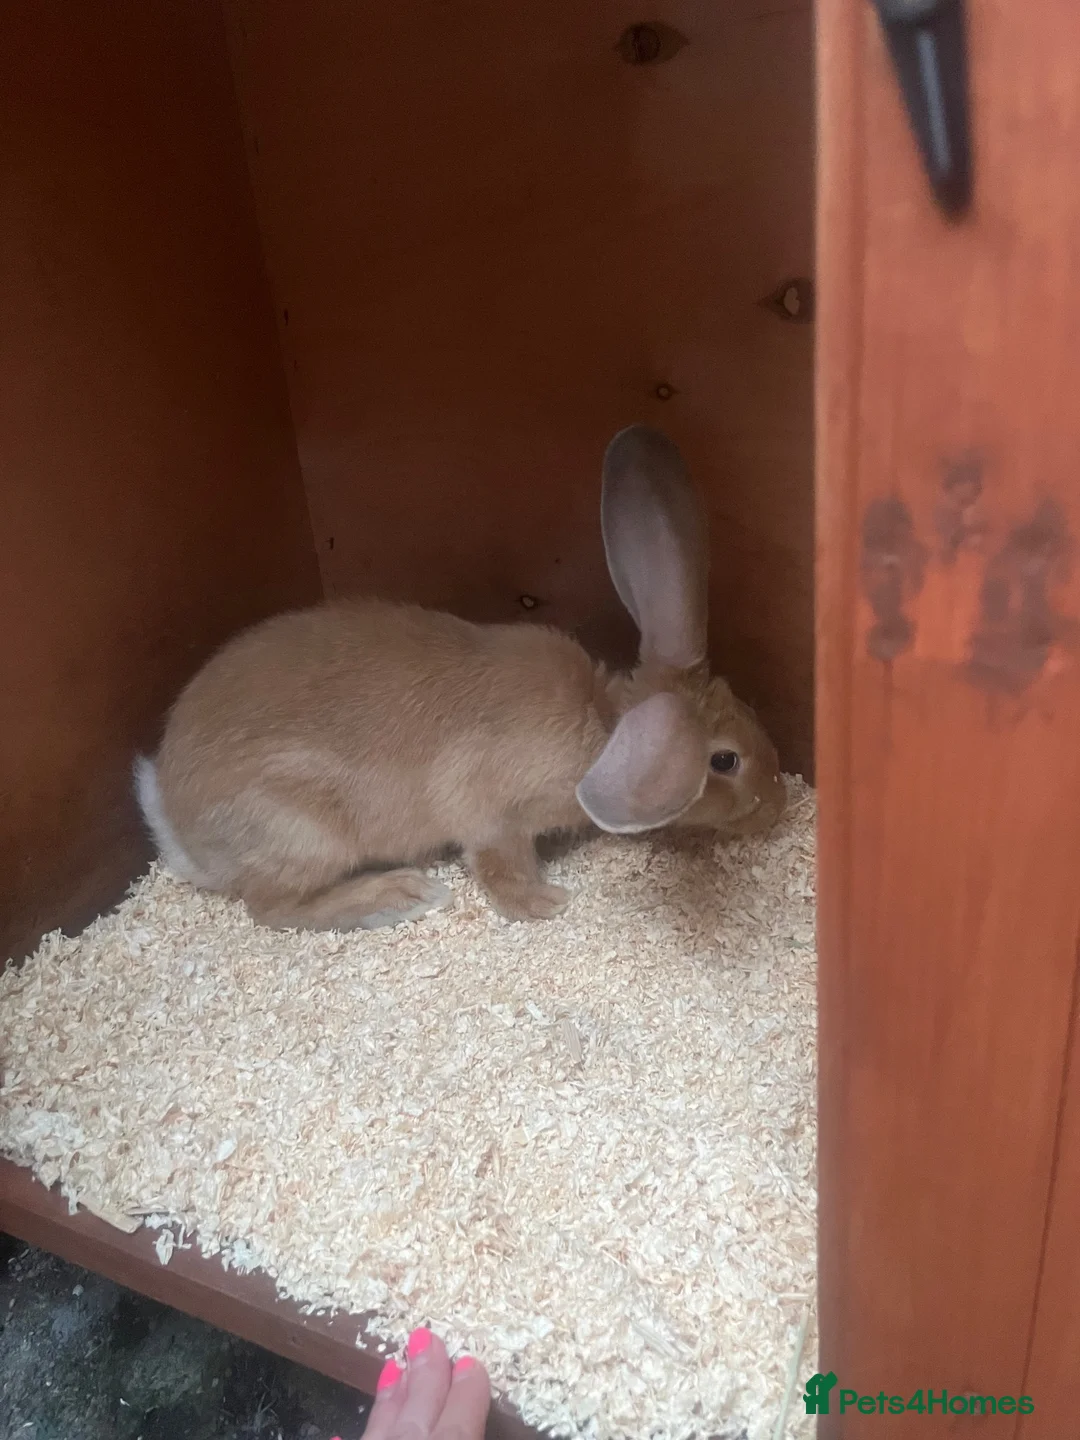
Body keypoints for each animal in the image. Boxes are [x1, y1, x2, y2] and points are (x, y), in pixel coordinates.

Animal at [135, 425, 786, 931]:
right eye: (724, 761)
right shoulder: (492, 813)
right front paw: (545, 903)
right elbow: (499, 864)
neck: (602, 724)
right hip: (301, 835)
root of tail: (180, 830)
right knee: (270, 906)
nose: (776, 807)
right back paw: (399, 895)